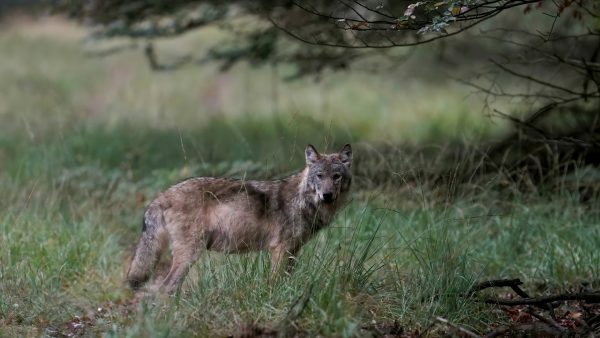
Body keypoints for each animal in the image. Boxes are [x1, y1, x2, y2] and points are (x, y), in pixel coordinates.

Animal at [126, 143, 352, 294]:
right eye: (320, 176)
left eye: (336, 176)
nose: (327, 195)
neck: (303, 201)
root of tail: (161, 196)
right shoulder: (280, 249)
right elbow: (275, 282)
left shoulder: (293, 250)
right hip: (190, 254)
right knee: (166, 288)